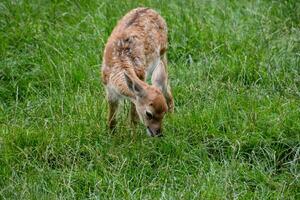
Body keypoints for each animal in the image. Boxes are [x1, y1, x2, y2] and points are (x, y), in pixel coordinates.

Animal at [102, 7, 175, 137]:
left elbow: (133, 118)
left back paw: (173, 117)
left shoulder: (140, 79)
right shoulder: (109, 90)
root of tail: (150, 9)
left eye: (164, 112)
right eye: (149, 113)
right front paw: (111, 135)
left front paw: (133, 137)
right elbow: (111, 119)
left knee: (166, 88)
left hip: (163, 53)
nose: (158, 133)